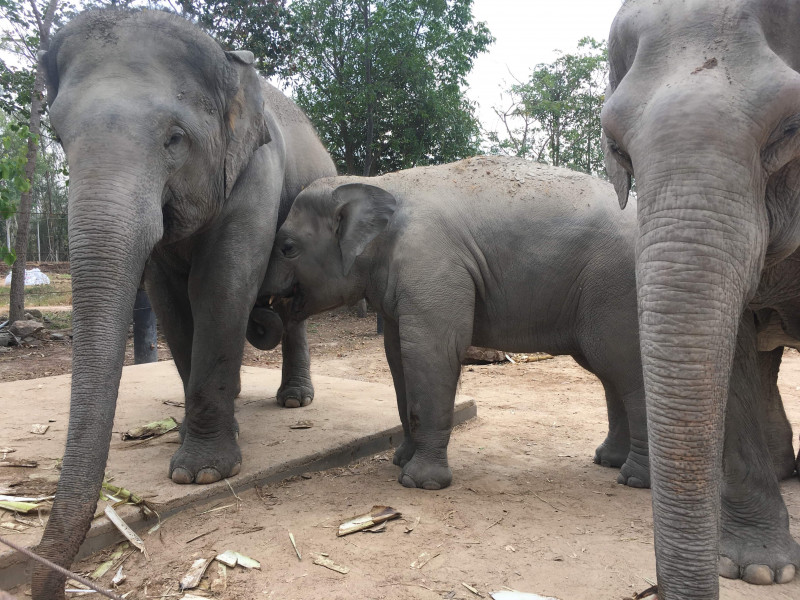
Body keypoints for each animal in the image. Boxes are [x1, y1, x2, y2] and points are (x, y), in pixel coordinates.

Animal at [33, 9, 334, 600]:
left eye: (175, 137)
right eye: (56, 135)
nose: (51, 583)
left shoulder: (256, 170)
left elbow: (221, 284)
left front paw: (201, 474)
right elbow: (169, 299)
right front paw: (203, 447)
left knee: (290, 307)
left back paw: (293, 401)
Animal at [260, 157, 652, 490]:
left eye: (287, 247)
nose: (266, 310)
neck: (378, 184)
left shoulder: (431, 266)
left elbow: (434, 352)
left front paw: (419, 483)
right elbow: (397, 357)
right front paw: (400, 460)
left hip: (616, 285)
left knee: (622, 364)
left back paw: (634, 480)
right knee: (610, 371)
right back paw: (608, 461)